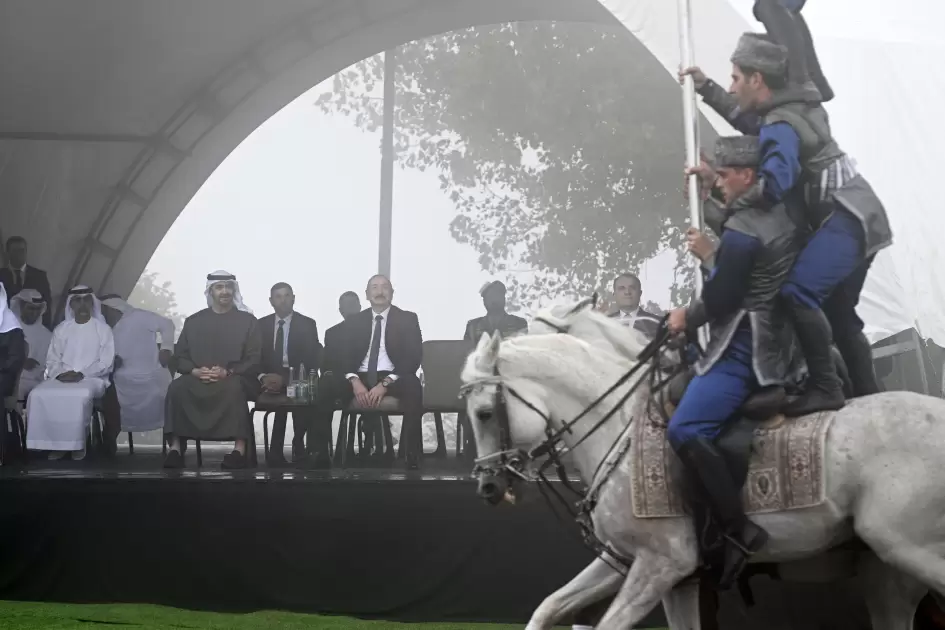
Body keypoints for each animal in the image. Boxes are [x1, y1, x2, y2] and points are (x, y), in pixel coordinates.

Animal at [460, 305, 945, 629]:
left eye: (483, 413)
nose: (487, 486)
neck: (623, 428)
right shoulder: (649, 568)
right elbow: (548, 607)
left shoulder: (662, 564)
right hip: (888, 578)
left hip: (907, 546)